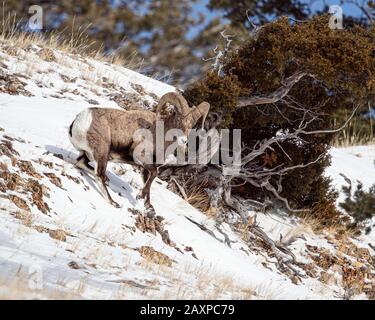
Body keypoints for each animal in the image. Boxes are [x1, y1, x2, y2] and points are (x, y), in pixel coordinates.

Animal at [69, 91, 210, 209]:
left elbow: (149, 180)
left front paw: (148, 206)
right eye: (178, 120)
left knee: (81, 163)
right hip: (102, 153)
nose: (184, 141)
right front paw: (140, 197)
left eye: (191, 125)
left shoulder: (146, 169)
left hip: (89, 154)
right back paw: (113, 202)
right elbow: (154, 174)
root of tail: (79, 122)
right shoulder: (140, 157)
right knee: (99, 175)